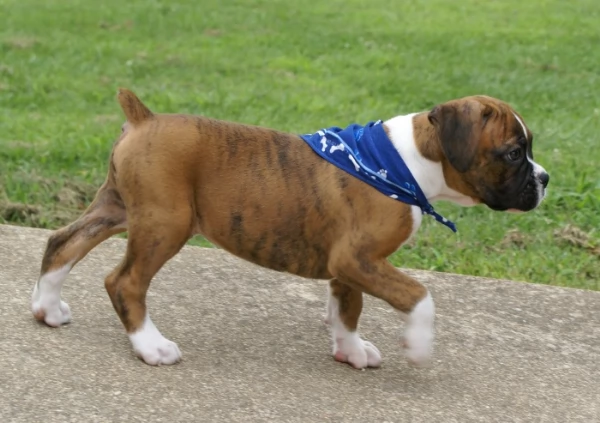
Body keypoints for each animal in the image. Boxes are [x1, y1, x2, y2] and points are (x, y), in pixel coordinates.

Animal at [30, 88, 552, 370]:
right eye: (512, 152)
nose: (545, 178)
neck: (406, 161)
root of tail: (144, 118)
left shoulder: (349, 264)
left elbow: (347, 309)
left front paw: (349, 350)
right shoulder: (358, 258)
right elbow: (420, 297)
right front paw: (420, 346)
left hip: (117, 208)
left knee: (62, 243)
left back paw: (47, 308)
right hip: (165, 223)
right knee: (125, 281)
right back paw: (150, 346)